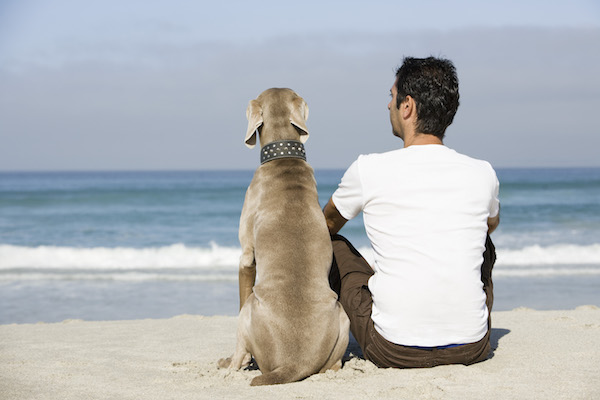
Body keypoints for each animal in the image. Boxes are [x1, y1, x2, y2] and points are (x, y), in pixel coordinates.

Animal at [219, 88, 352, 384]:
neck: (284, 157)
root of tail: (295, 364)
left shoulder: (246, 255)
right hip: (342, 317)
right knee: (334, 364)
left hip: (251, 307)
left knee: (242, 337)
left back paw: (231, 363)